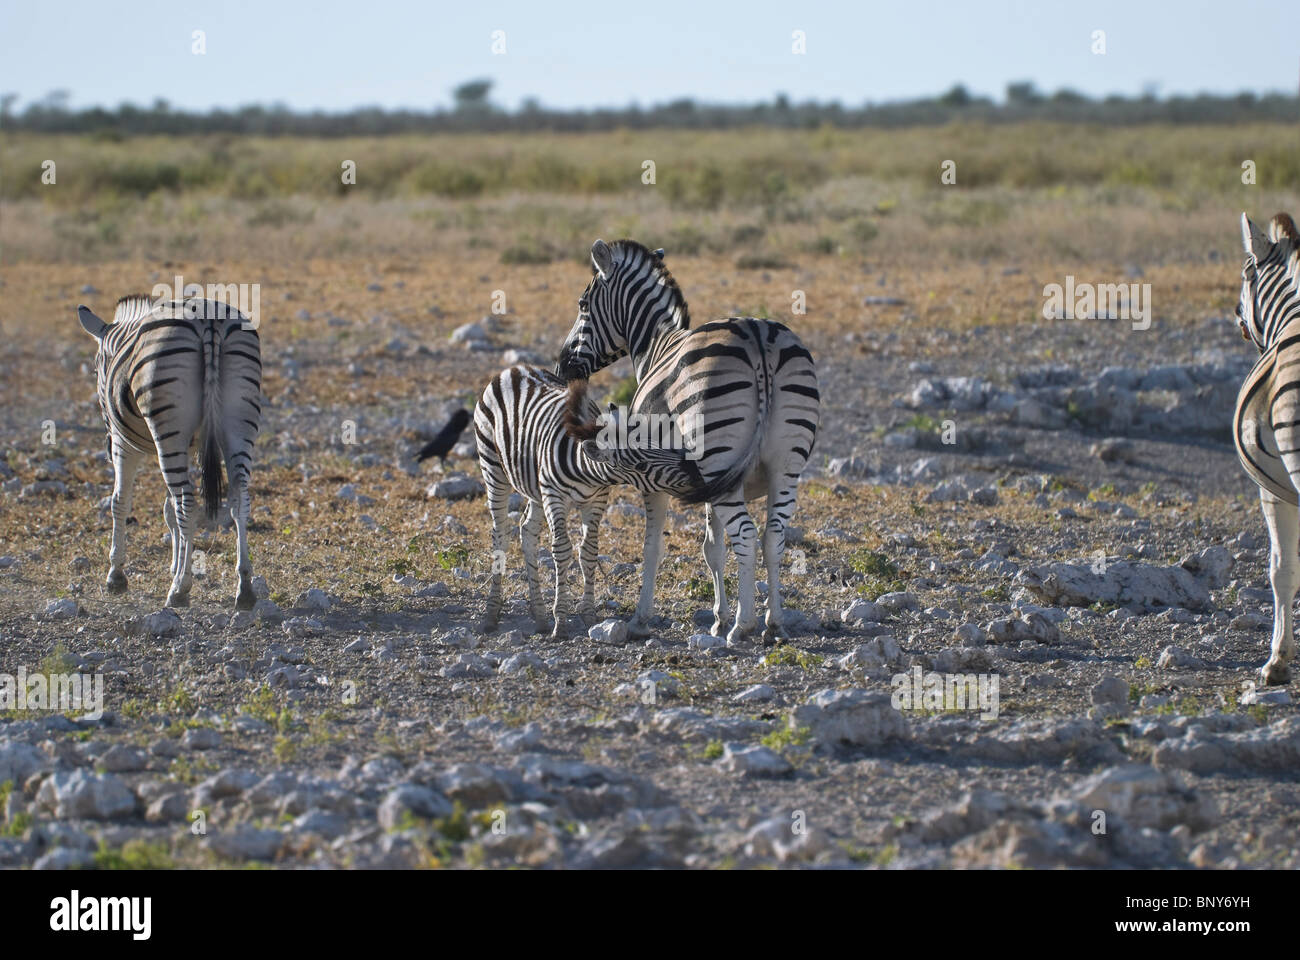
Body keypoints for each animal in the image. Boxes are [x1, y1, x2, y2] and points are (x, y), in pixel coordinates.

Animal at [76, 293, 263, 606]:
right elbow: (168, 510)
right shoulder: (186, 446)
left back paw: (180, 590)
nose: (105, 446)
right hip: (237, 424)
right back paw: (245, 588)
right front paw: (175, 565)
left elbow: (119, 502)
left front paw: (116, 575)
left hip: (167, 431)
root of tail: (208, 319)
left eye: (95, 369)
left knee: (187, 502)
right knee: (239, 500)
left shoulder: (124, 445)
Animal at [475, 361, 702, 640]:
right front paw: (561, 621)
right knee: (500, 535)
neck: (583, 467)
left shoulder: (597, 499)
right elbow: (562, 550)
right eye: (640, 465)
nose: (693, 470)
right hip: (493, 468)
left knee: (527, 531)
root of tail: (516, 369)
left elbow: (589, 551)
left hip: (534, 488)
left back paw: (539, 616)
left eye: (656, 444)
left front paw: (589, 615)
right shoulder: (554, 497)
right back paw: (491, 615)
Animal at [553, 239, 816, 642]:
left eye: (583, 304)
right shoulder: (709, 483)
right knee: (773, 537)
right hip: (784, 465)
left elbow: (652, 547)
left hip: (723, 457)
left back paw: (744, 626)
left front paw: (641, 618)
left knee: (747, 535)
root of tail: (757, 332)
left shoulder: (649, 473)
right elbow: (713, 548)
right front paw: (719, 616)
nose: (562, 367)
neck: (657, 345)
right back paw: (774, 622)